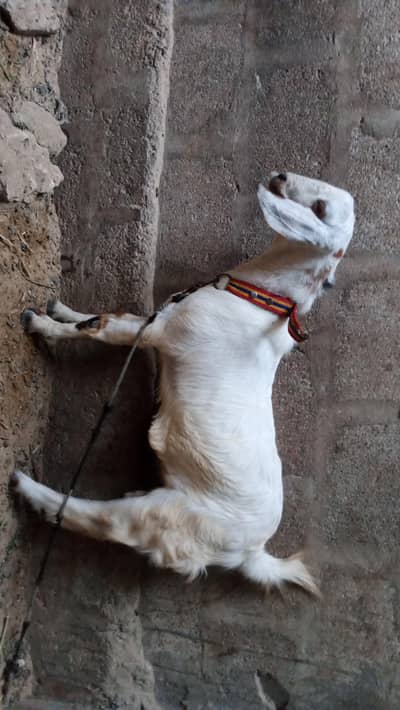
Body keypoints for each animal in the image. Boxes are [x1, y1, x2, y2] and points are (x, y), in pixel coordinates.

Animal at [11, 172, 355, 595]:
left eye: (321, 209)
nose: (280, 176)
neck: (259, 297)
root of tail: (252, 553)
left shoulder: (165, 332)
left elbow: (102, 329)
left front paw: (40, 323)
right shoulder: (159, 320)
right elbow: (105, 317)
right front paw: (60, 308)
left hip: (171, 517)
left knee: (104, 520)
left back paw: (28, 487)